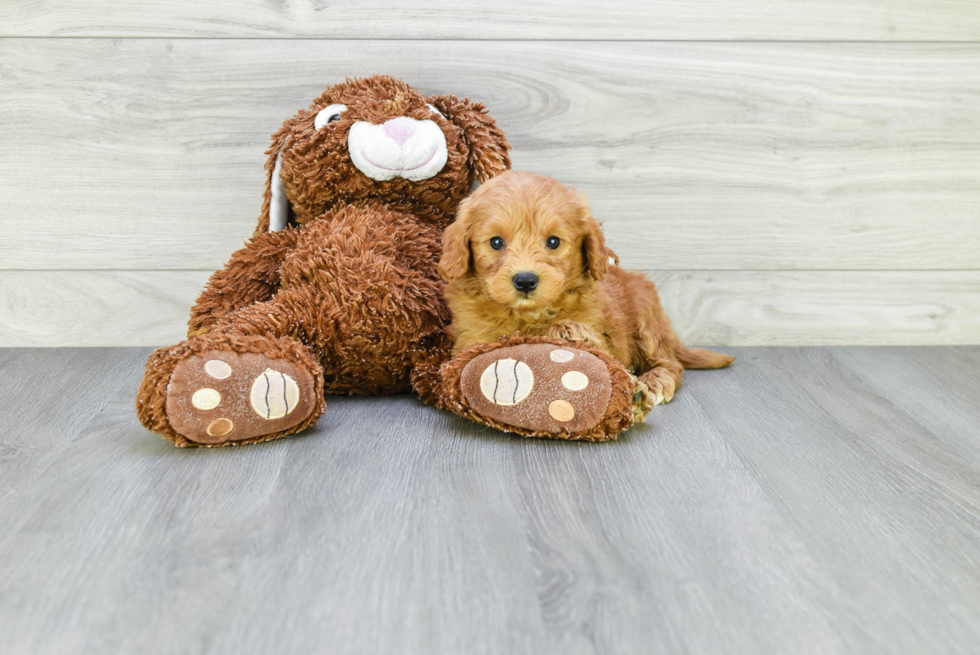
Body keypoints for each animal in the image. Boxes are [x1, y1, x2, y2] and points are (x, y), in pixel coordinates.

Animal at [438, 170, 736, 416]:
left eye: (553, 242)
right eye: (496, 242)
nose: (525, 281)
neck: (529, 315)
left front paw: (567, 331)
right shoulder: (470, 340)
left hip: (646, 316)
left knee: (671, 364)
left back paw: (653, 383)